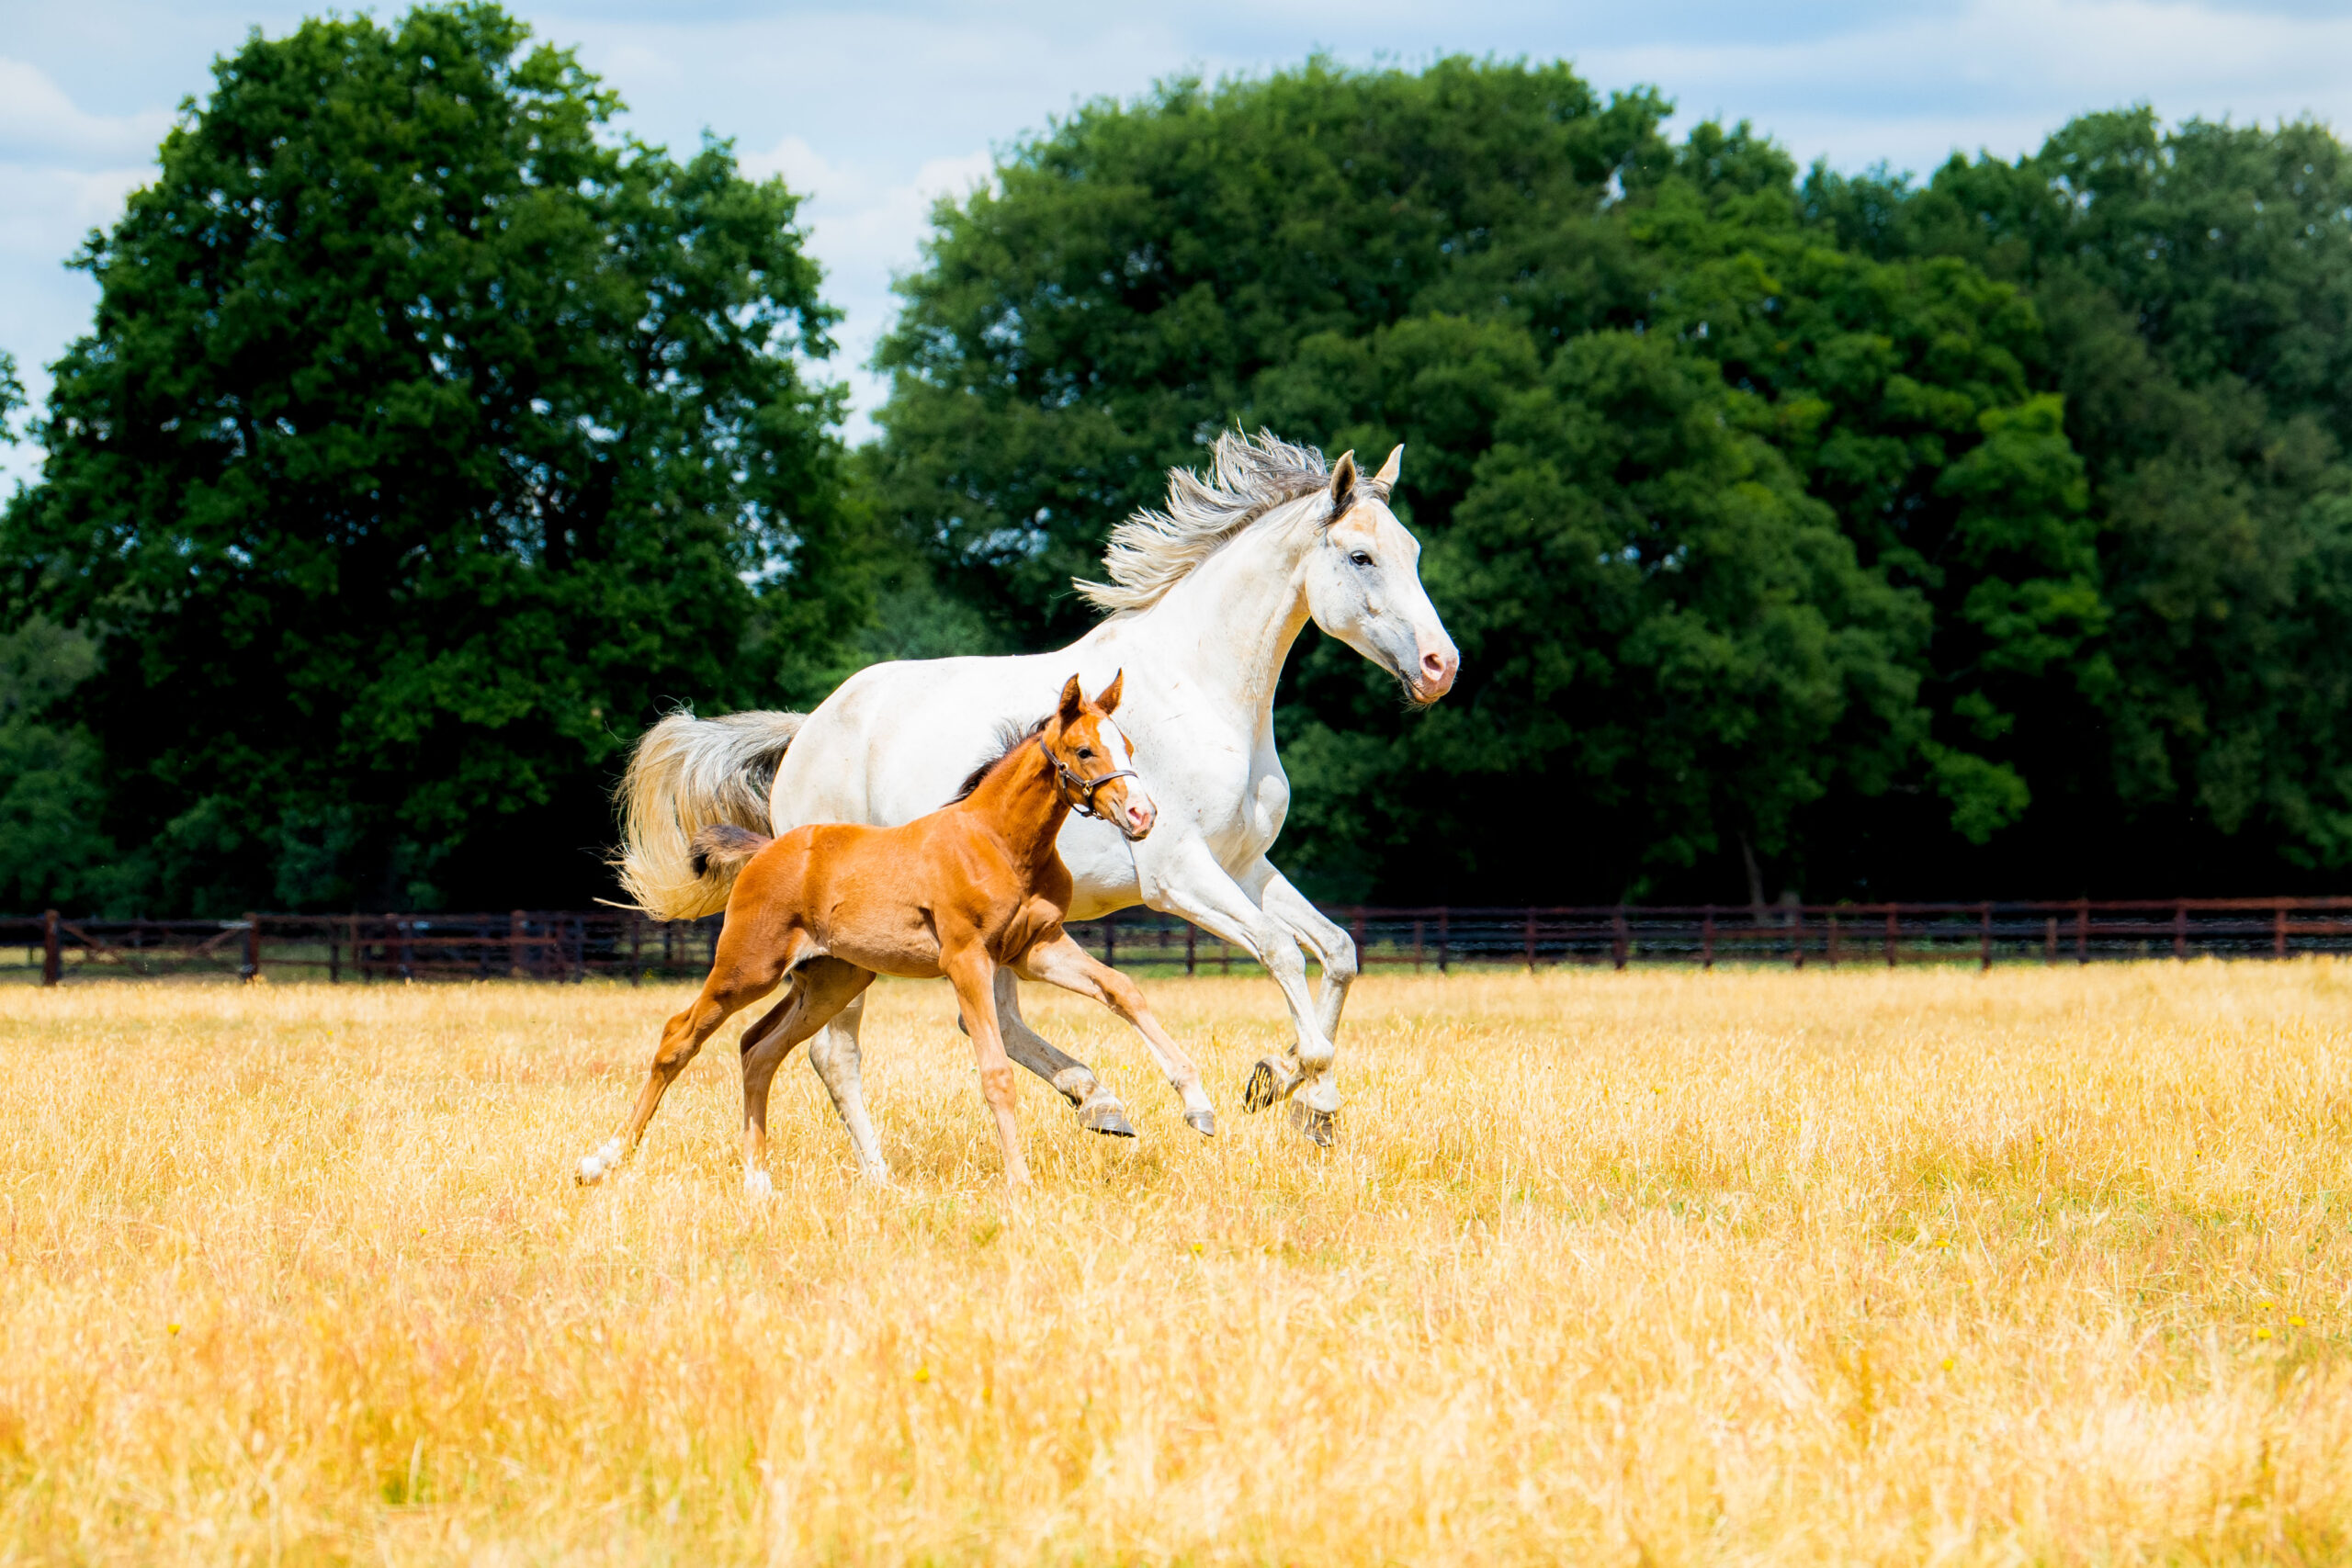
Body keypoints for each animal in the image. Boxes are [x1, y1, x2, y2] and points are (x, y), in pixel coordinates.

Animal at [578, 677, 1223, 1189]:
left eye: (1129, 746)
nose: (1143, 815)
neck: (998, 841)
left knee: (759, 1049)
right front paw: (1020, 1182)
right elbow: (995, 1070)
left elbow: (1123, 990)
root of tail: (764, 848)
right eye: (1085, 750)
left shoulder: (1037, 949)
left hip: (830, 980)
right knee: (679, 1037)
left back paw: (758, 1180)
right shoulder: (967, 960)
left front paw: (1198, 1106)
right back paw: (603, 1160)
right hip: (747, 967)